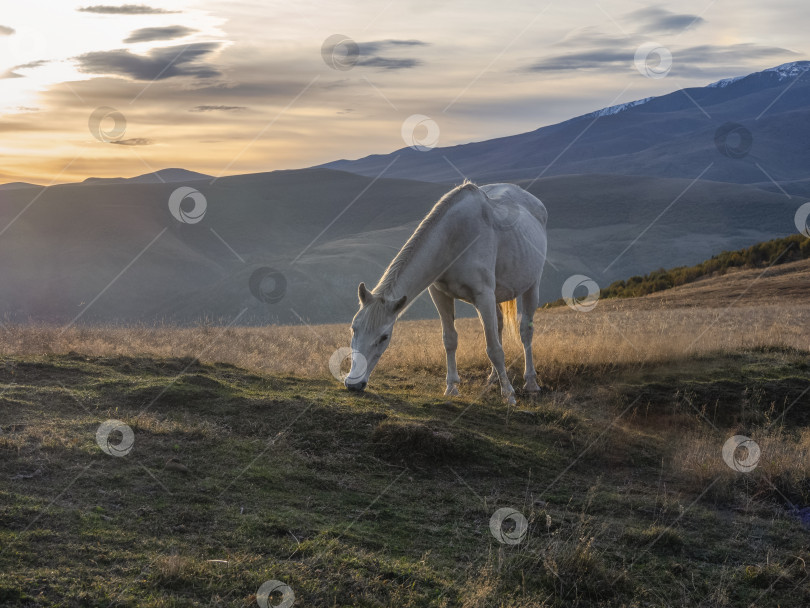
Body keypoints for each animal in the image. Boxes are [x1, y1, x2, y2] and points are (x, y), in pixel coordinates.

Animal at [344, 180, 548, 404]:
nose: (353, 384)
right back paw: (493, 378)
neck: (454, 238)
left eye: (384, 337)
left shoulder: (483, 296)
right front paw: (451, 387)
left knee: (525, 331)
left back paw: (531, 382)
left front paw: (509, 395)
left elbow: (494, 349)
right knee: (499, 326)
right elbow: (450, 340)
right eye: (354, 328)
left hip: (532, 286)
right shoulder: (440, 295)